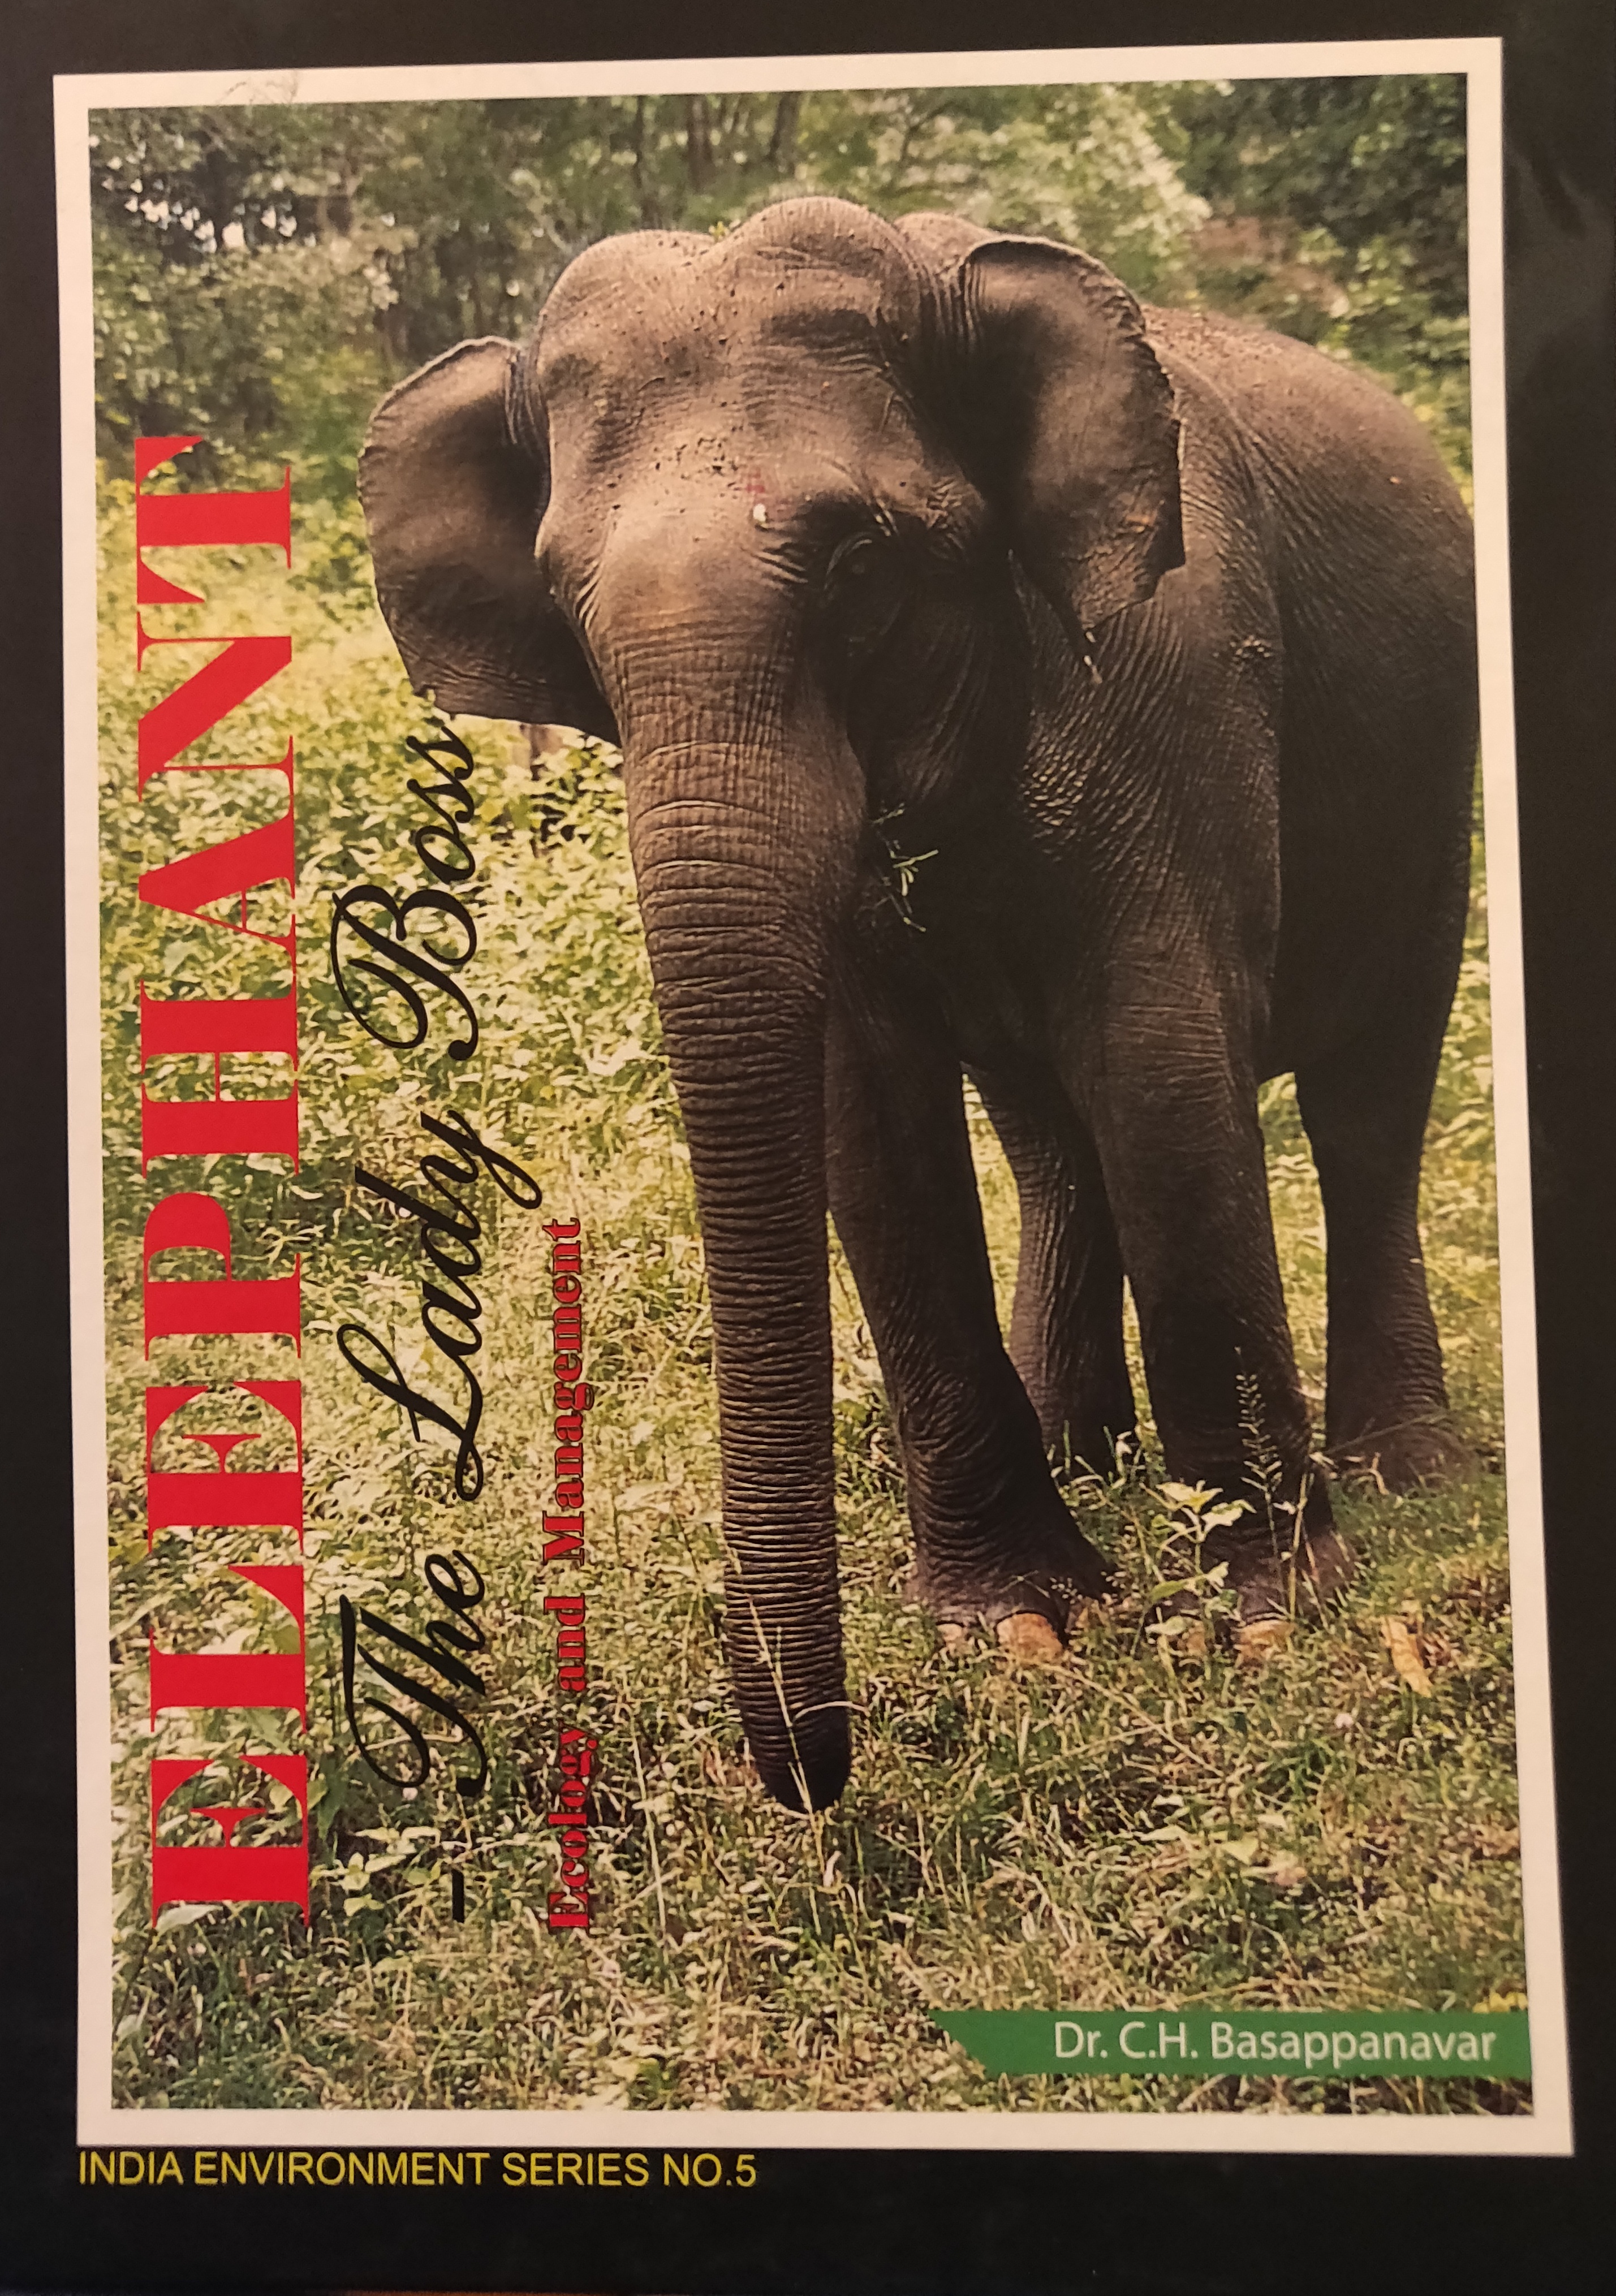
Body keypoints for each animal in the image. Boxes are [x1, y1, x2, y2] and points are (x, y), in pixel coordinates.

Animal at [359, 196, 1477, 1813]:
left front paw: (1265, 1619)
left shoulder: (1180, 682)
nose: (815, 1778)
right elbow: (866, 1119)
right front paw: (1019, 1629)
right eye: (568, 603)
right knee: (1054, 1141)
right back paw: (1095, 1463)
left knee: (1366, 1105)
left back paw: (1404, 1475)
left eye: (856, 565)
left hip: (1436, 777)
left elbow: (1161, 1053)